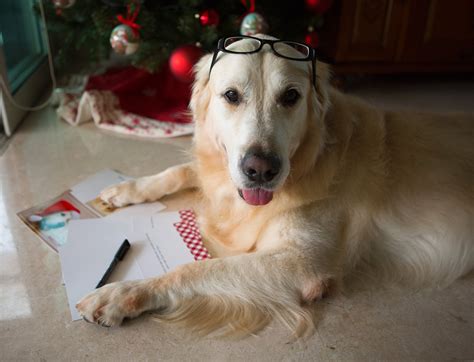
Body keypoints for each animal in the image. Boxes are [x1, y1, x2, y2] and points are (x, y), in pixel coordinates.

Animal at [77, 35, 474, 336]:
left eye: (291, 97)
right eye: (231, 95)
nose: (260, 170)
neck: (311, 160)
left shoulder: (302, 265)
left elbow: (195, 268)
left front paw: (123, 293)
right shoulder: (222, 174)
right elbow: (181, 170)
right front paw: (126, 189)